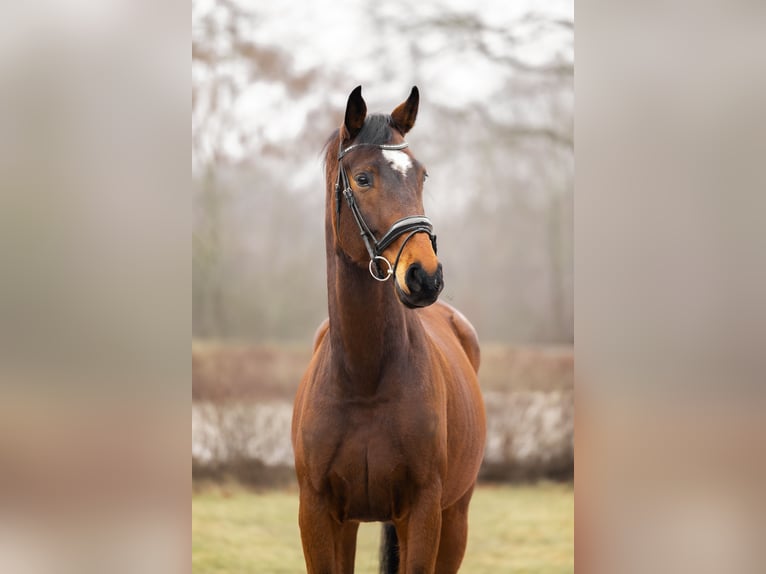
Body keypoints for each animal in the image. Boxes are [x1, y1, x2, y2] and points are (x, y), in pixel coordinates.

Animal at [292, 85, 486, 574]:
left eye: (421, 176)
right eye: (363, 179)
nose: (425, 277)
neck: (364, 379)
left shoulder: (423, 512)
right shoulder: (318, 514)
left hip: (455, 517)